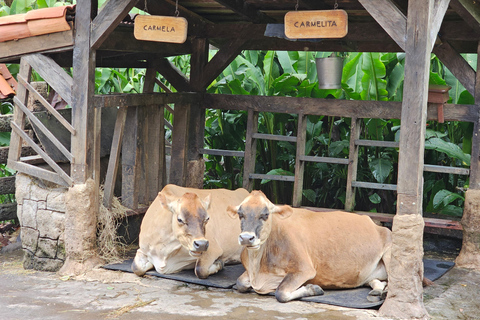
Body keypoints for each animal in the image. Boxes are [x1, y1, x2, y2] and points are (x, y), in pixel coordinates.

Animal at [227, 191, 392, 304]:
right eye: (240, 214)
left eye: (265, 214)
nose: (246, 238)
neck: (258, 268)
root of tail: (375, 224)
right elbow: (240, 283)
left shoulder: (304, 268)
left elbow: (281, 293)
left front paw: (313, 289)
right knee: (374, 280)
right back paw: (377, 291)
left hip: (389, 252)